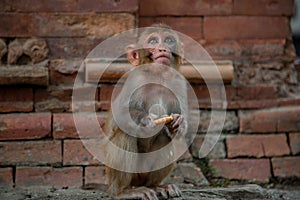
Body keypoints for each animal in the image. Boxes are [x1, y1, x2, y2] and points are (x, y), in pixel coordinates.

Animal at [104, 24, 186, 199]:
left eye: (169, 40)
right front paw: (146, 120)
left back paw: (156, 186)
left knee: (164, 137)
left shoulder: (178, 81)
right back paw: (124, 191)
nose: (162, 48)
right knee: (125, 133)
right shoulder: (136, 79)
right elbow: (121, 115)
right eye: (153, 41)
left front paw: (179, 122)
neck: (158, 76)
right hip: (121, 175)